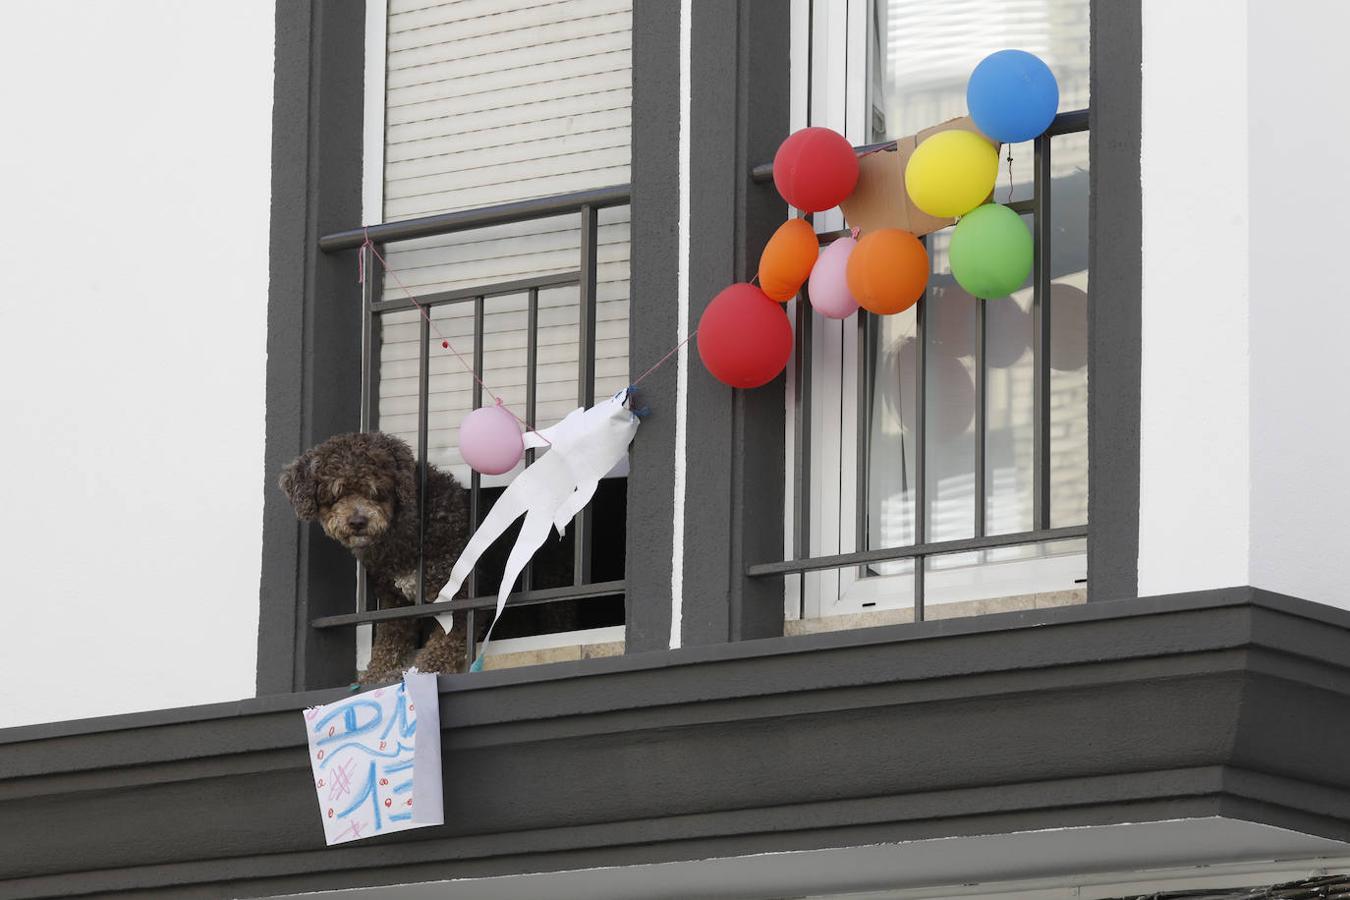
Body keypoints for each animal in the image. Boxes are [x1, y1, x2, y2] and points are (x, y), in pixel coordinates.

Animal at [276, 434, 472, 682]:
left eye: (375, 490)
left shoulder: (460, 594)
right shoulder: (394, 602)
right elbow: (387, 645)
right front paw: (373, 677)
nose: (358, 521)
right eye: (336, 494)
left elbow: (444, 644)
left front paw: (422, 671)